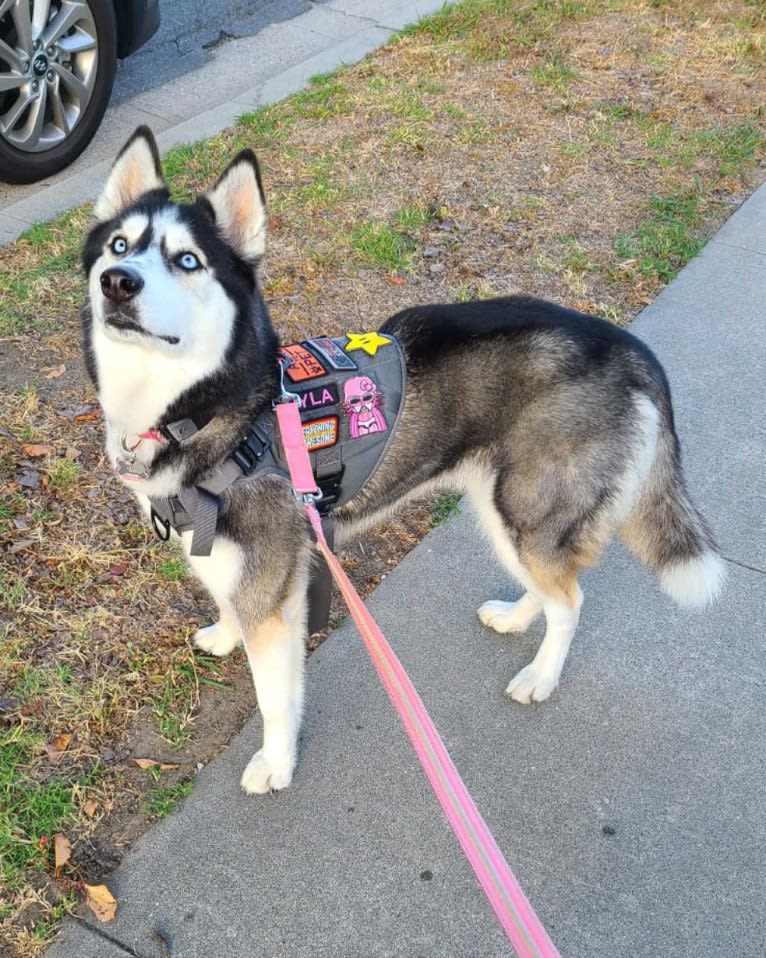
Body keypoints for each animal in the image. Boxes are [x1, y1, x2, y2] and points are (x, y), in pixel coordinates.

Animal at [81, 127, 728, 796]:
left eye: (187, 261)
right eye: (119, 246)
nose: (119, 282)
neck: (213, 406)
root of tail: (627, 346)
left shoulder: (272, 592)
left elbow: (276, 699)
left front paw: (277, 763)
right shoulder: (235, 565)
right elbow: (229, 603)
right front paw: (224, 635)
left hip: (526, 509)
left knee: (570, 601)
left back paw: (541, 677)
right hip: (504, 512)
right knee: (553, 588)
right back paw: (518, 618)